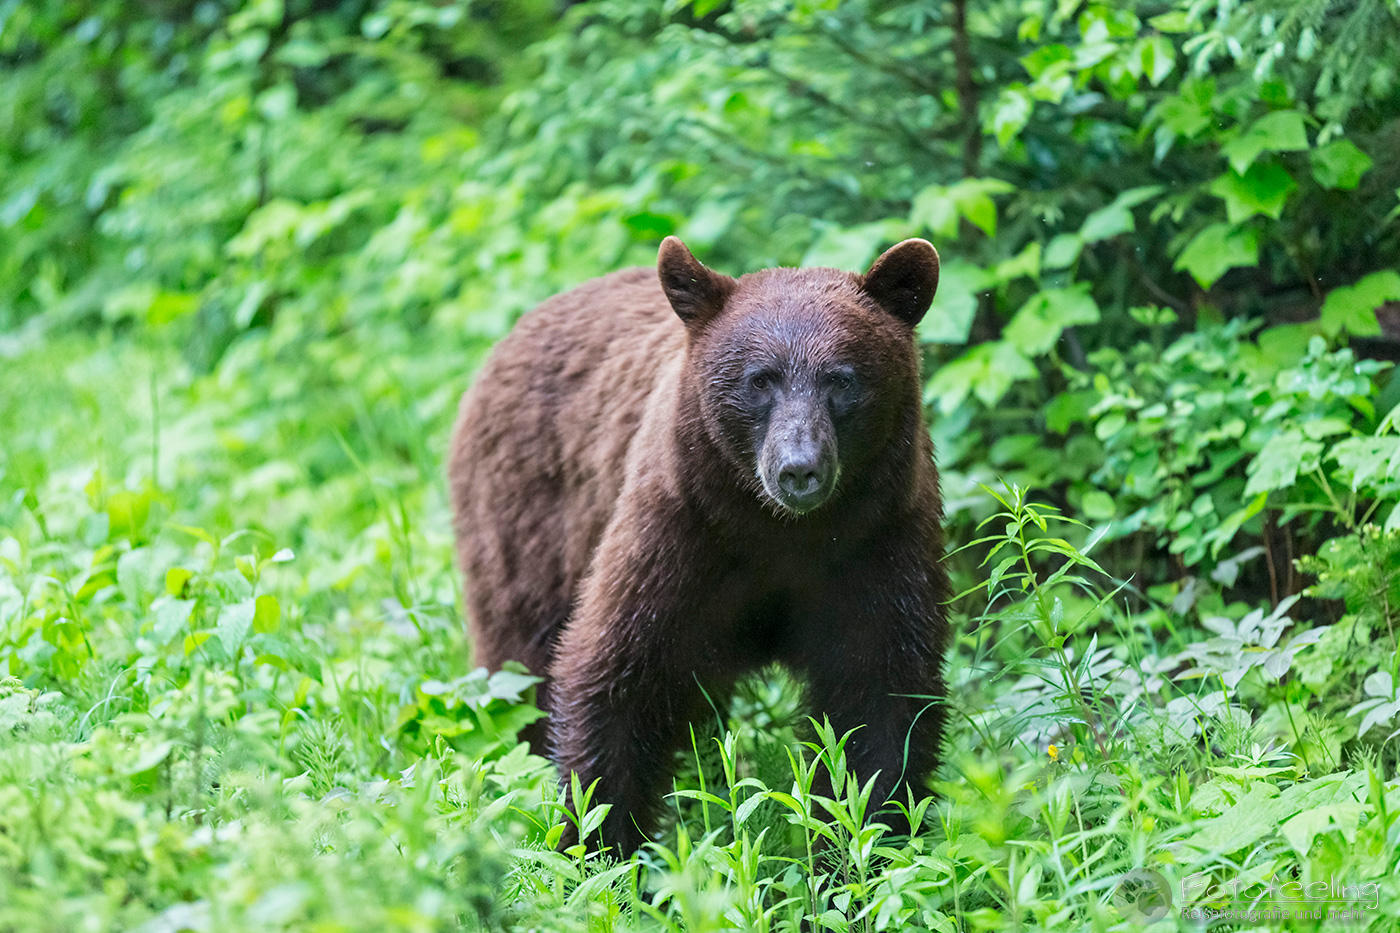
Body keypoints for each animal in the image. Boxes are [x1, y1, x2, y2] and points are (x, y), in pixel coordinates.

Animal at [448, 236, 950, 855]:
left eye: (842, 379)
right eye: (760, 379)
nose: (799, 469)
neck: (779, 532)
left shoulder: (877, 543)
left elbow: (881, 701)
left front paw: (861, 846)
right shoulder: (678, 539)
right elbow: (615, 677)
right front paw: (597, 846)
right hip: (528, 522)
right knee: (520, 659)